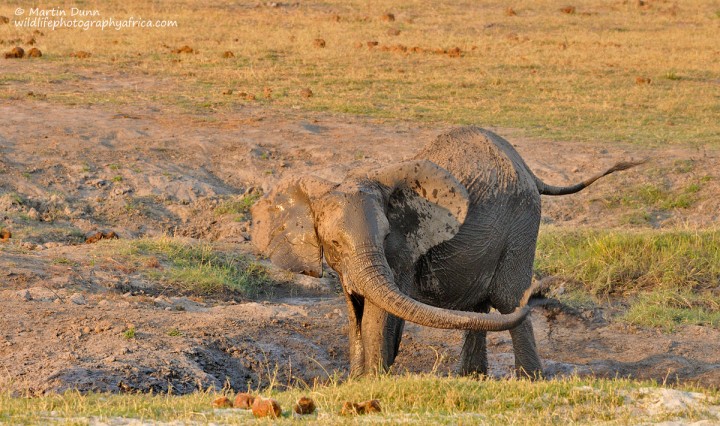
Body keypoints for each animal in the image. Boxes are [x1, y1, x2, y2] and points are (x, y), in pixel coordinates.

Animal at [250, 125, 640, 376]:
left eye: (386, 236)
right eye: (332, 243)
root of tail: (528, 169)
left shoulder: (402, 253)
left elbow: (378, 311)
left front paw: (371, 382)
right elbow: (355, 310)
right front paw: (354, 382)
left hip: (523, 221)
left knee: (509, 299)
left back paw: (530, 381)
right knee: (480, 306)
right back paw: (471, 379)